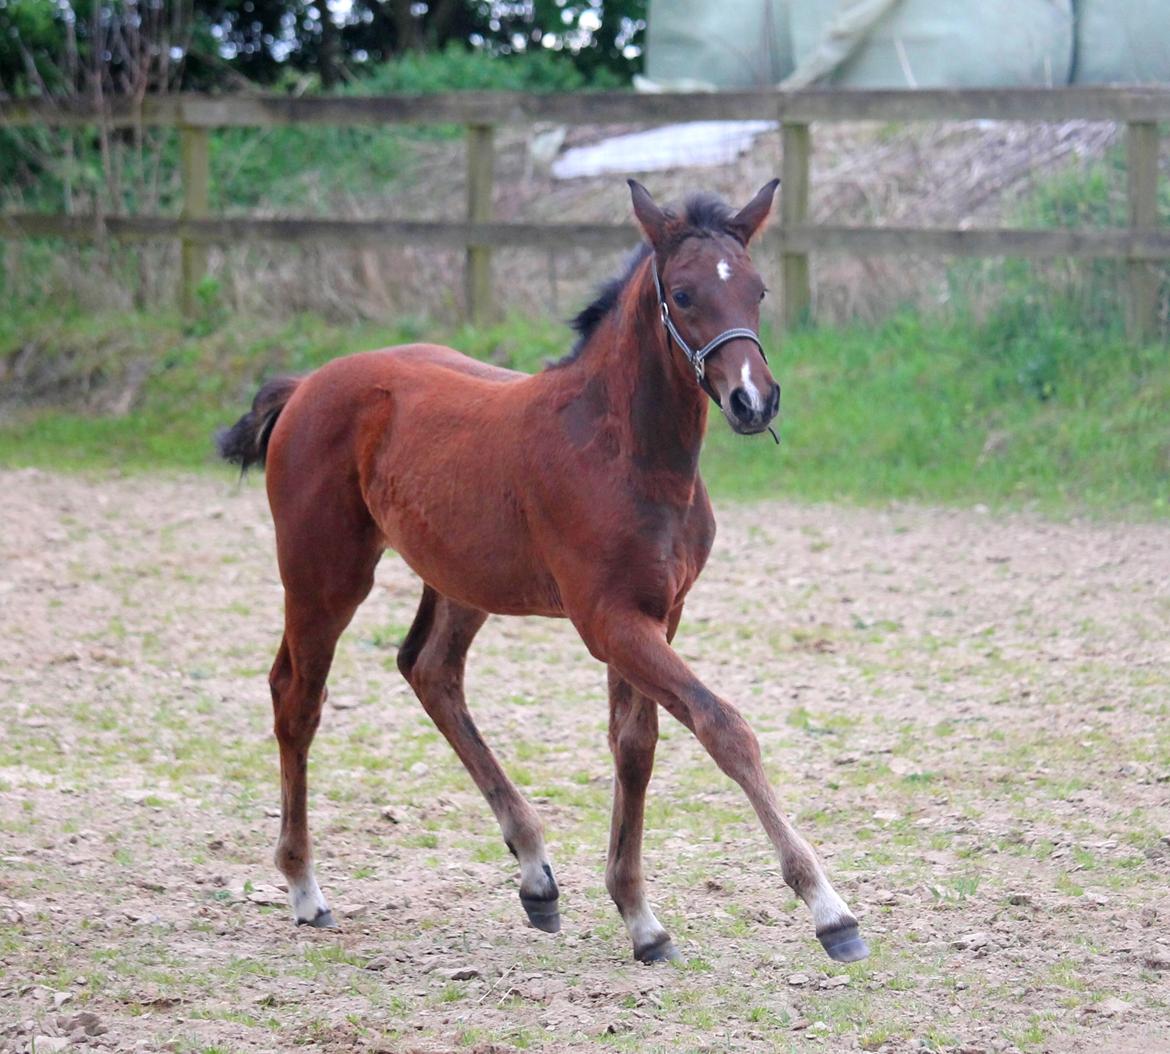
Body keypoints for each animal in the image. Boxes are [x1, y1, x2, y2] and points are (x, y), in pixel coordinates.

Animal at [221, 181, 870, 963]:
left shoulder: (657, 614)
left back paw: (535, 872)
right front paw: (829, 909)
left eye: (758, 290)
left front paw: (641, 919)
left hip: (461, 578)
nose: (754, 400)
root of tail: (307, 383)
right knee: (298, 697)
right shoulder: (608, 620)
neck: (628, 453)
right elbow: (722, 727)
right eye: (684, 295)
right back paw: (304, 887)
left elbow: (635, 747)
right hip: (325, 572)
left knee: (429, 670)